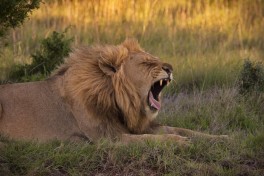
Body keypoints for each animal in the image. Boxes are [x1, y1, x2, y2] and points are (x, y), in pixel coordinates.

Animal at [0, 39, 227, 144]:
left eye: (155, 58)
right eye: (147, 63)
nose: (170, 68)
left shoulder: (138, 126)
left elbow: (181, 129)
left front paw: (222, 138)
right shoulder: (107, 137)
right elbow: (148, 140)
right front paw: (177, 142)